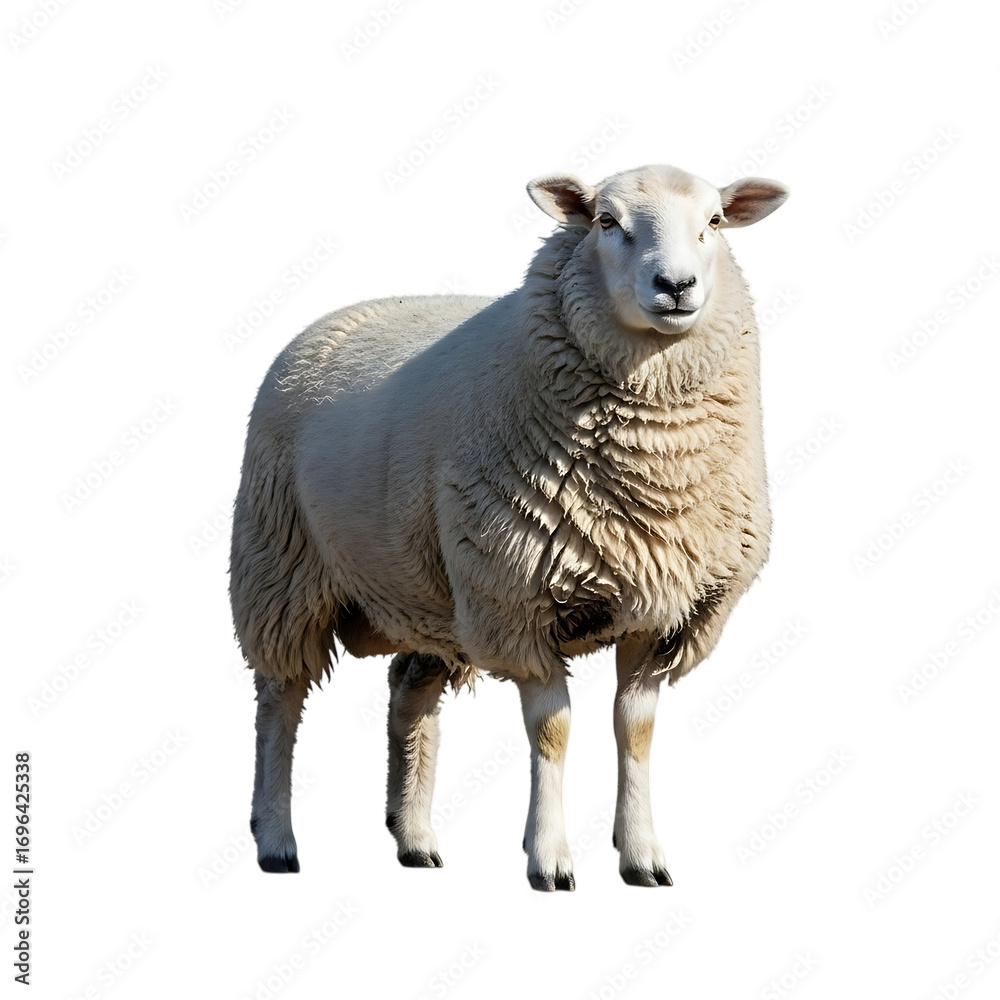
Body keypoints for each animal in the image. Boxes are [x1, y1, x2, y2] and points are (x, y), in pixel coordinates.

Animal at [230, 163, 788, 890]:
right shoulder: (516, 601)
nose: (676, 286)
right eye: (606, 221)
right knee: (280, 703)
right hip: (281, 567)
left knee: (409, 693)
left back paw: (413, 838)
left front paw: (642, 855)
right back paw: (276, 840)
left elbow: (634, 731)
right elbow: (554, 731)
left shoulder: (665, 611)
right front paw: (549, 859)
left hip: (428, 590)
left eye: (715, 220)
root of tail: (340, 316)